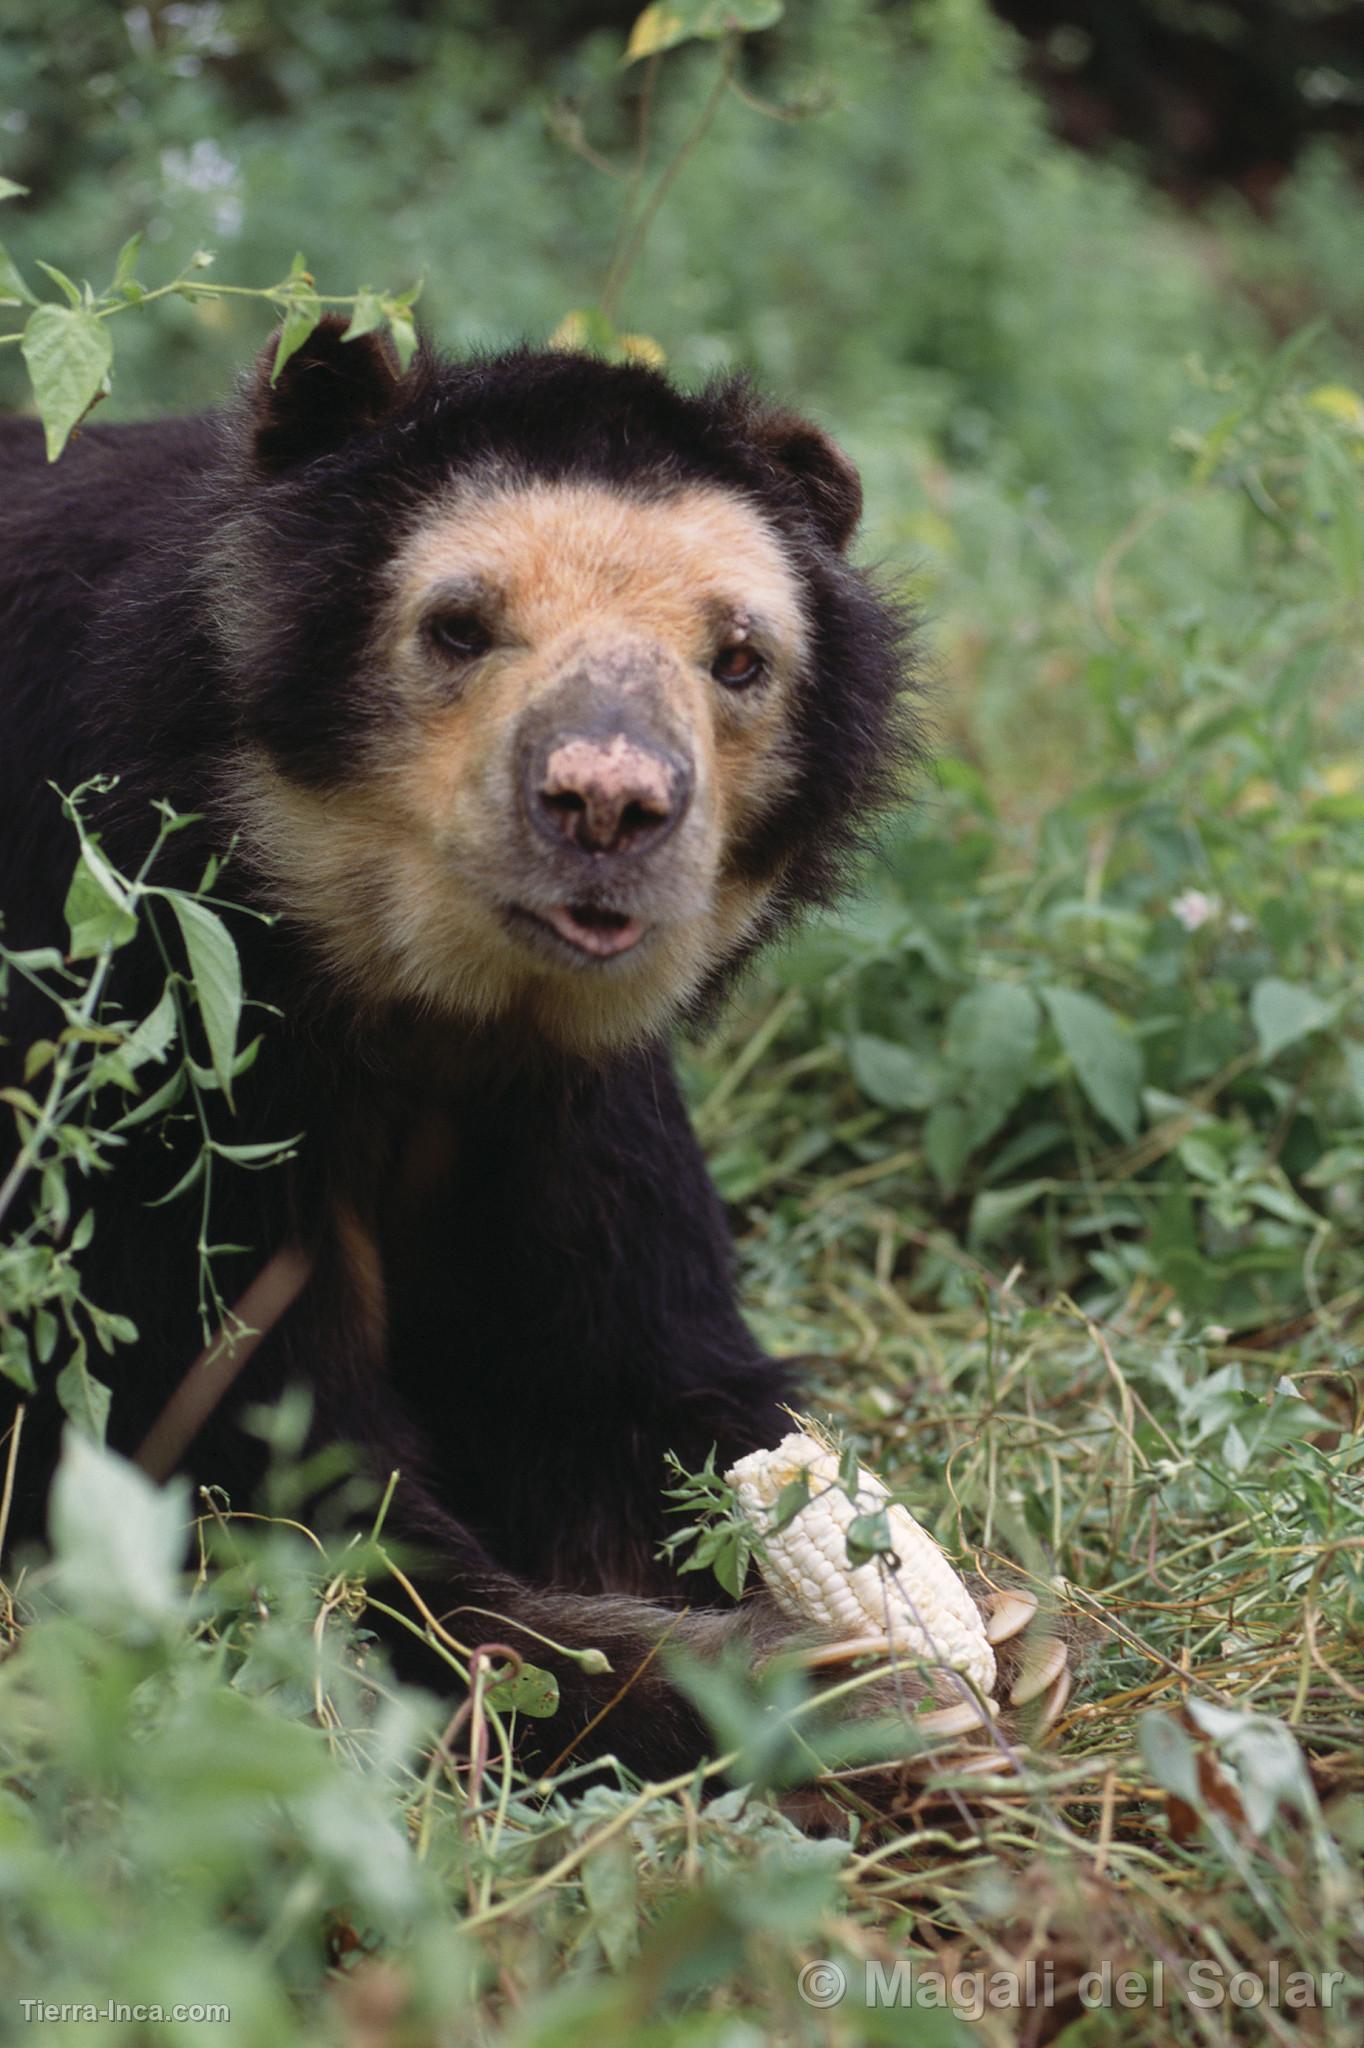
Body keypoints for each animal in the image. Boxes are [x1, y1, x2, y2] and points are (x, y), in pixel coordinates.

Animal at [2, 319, 913, 1777]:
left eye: (737, 658)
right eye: (457, 627)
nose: (609, 803)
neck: (423, 1002)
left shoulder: (567, 1105)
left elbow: (637, 1385)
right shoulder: (149, 1037)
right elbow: (239, 1466)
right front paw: (826, 1690)